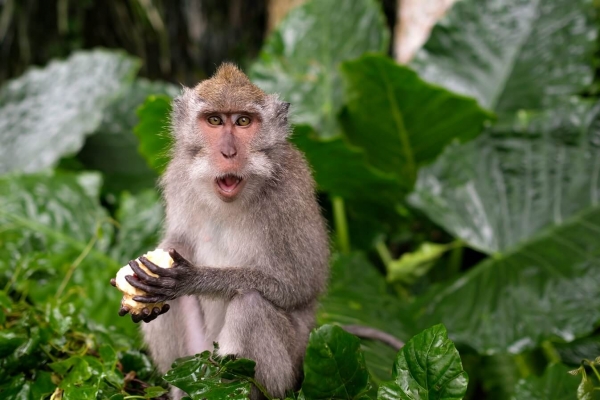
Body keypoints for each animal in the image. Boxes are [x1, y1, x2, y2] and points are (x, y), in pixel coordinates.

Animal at [112, 63, 330, 400]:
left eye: (243, 121)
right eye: (214, 120)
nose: (228, 152)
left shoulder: (290, 194)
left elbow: (299, 285)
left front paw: (193, 278)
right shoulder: (179, 176)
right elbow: (179, 241)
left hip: (287, 371)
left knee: (250, 303)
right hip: (197, 357)